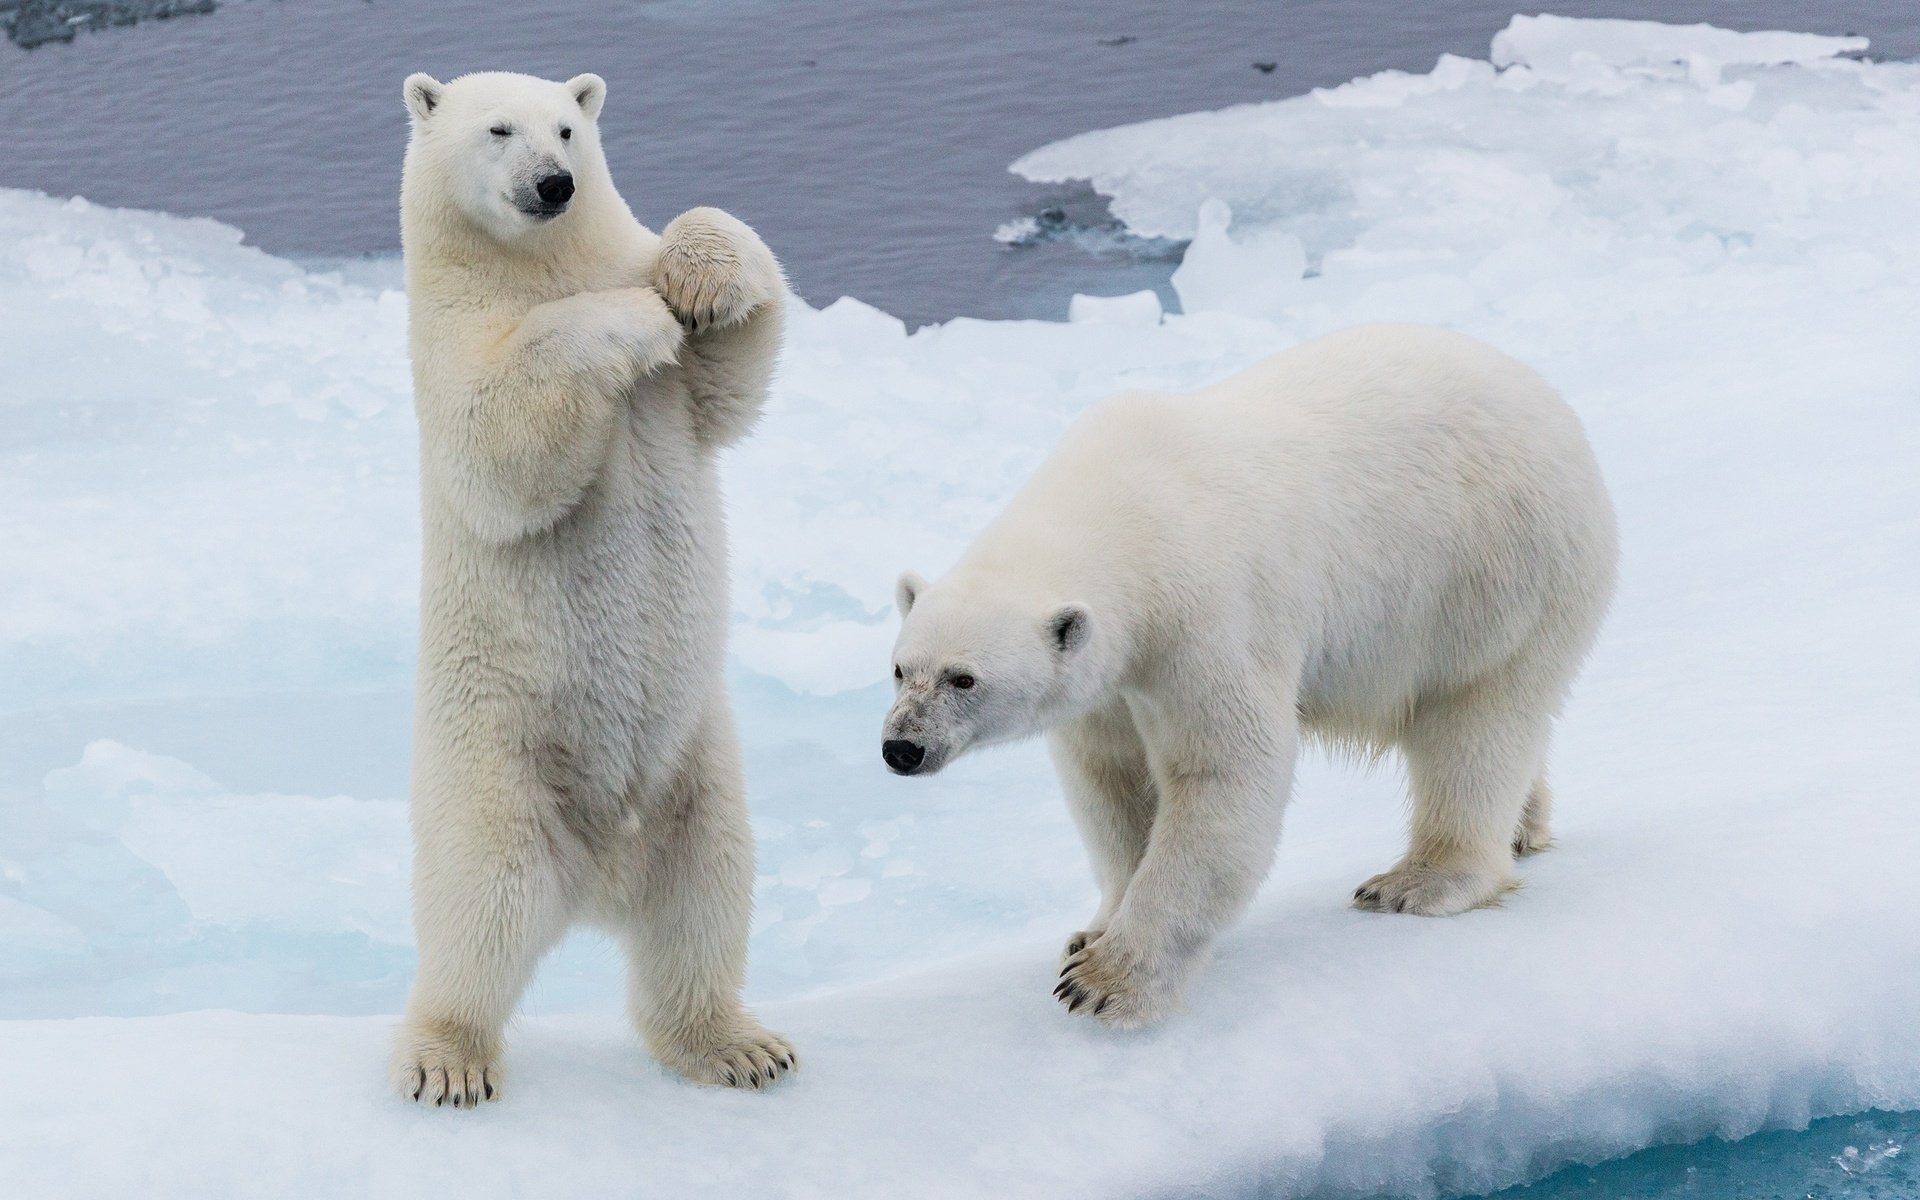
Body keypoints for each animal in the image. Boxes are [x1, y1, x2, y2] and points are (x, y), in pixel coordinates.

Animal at [395, 67, 794, 1105]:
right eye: (498, 130)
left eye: (569, 129)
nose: (553, 185)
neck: (536, 263)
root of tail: (600, 879)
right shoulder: (449, 342)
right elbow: (501, 443)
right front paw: (636, 319)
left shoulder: (681, 390)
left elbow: (733, 376)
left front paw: (696, 282)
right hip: (495, 765)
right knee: (478, 913)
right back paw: (448, 1058)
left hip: (696, 770)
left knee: (705, 898)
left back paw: (738, 1045)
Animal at [883, 324, 1620, 1029]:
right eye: (899, 669)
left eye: (963, 679)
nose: (900, 748)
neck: (1125, 509)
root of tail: (1551, 404)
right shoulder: (1112, 677)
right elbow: (1112, 779)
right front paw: (1090, 933)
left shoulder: (1206, 617)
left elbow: (1224, 771)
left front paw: (1106, 982)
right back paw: (1525, 826)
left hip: (1494, 571)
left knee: (1475, 721)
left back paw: (1418, 881)